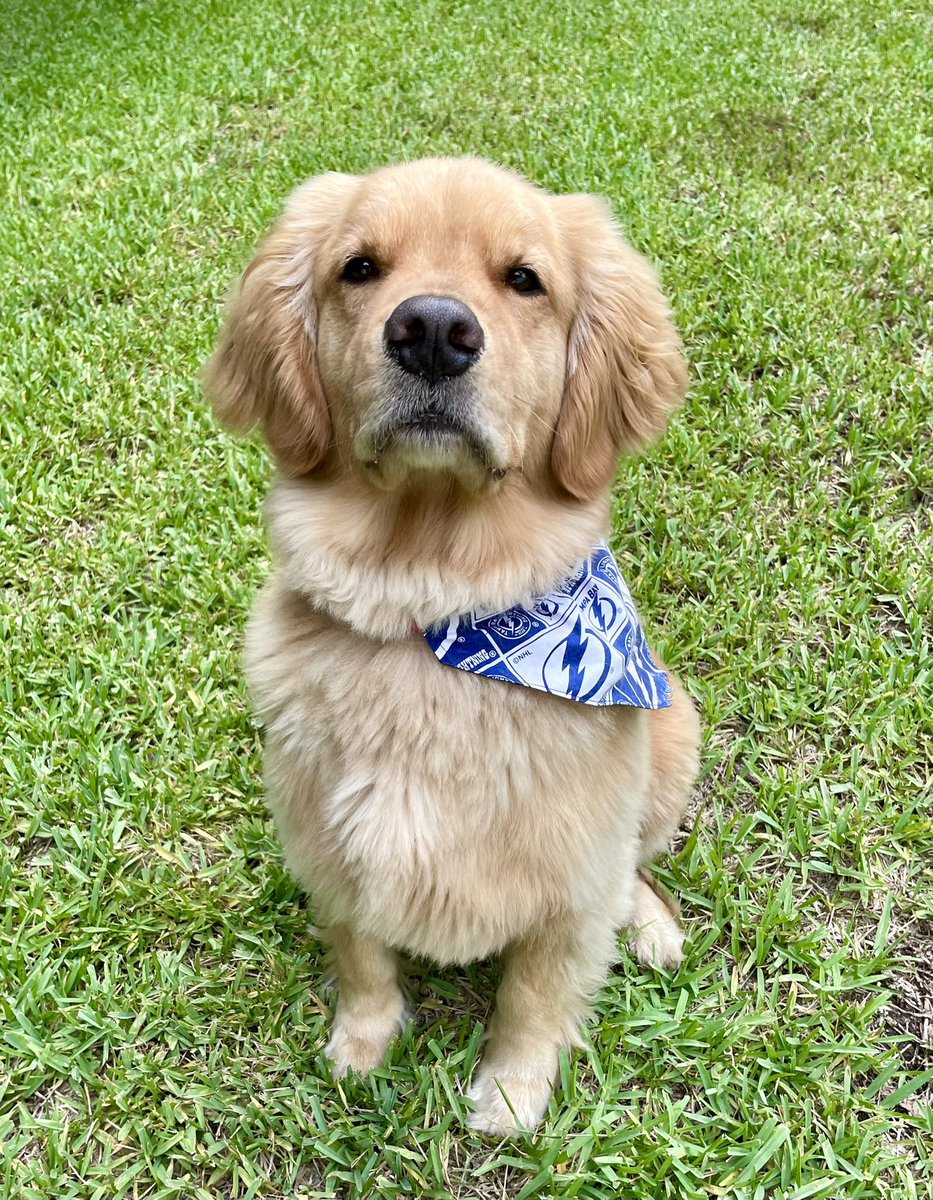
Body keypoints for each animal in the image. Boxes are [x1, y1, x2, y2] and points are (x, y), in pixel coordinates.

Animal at [203, 154, 700, 1128]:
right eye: (360, 268)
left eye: (524, 279)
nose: (432, 329)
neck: (434, 615)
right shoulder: (329, 851)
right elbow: (362, 962)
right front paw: (360, 1049)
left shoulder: (570, 887)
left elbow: (534, 998)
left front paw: (510, 1096)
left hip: (673, 736)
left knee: (637, 866)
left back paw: (654, 925)